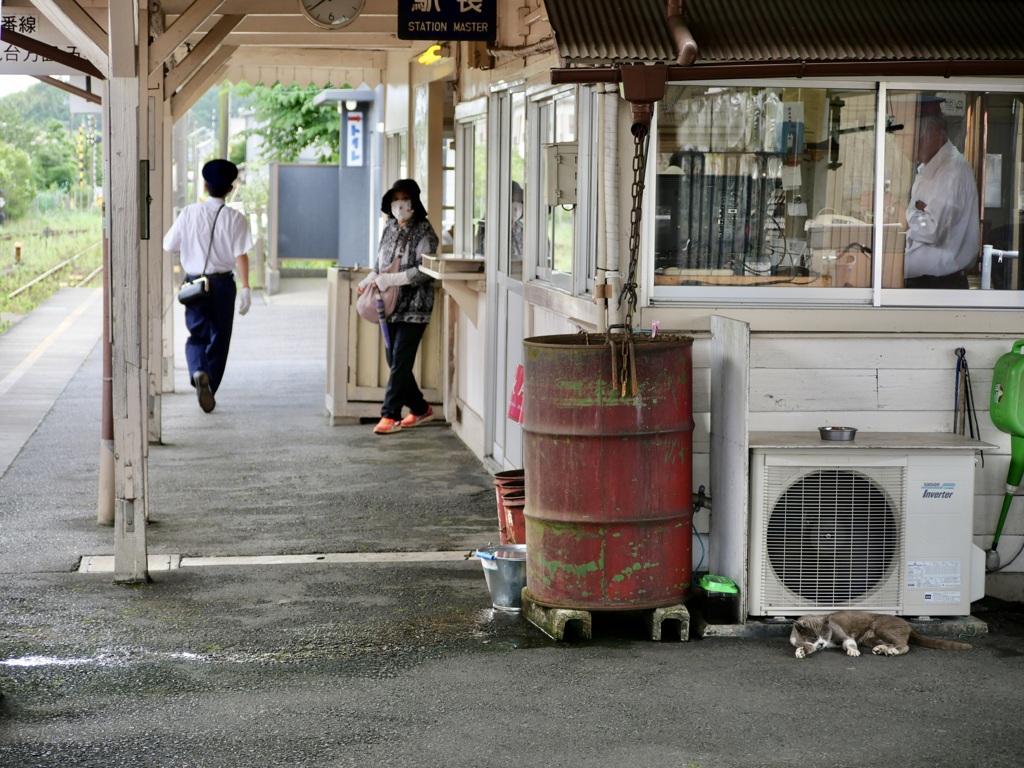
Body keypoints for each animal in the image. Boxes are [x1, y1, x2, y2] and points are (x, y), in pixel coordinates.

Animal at [786, 610, 970, 659]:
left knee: (904, 645)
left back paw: (892, 651)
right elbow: (806, 647)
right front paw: (801, 651)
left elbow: (849, 641)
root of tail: (908, 625)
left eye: (825, 636)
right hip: (872, 638)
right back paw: (882, 649)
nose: (822, 644)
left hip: (883, 628)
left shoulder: (842, 633)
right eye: (813, 637)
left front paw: (853, 651)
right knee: (890, 643)